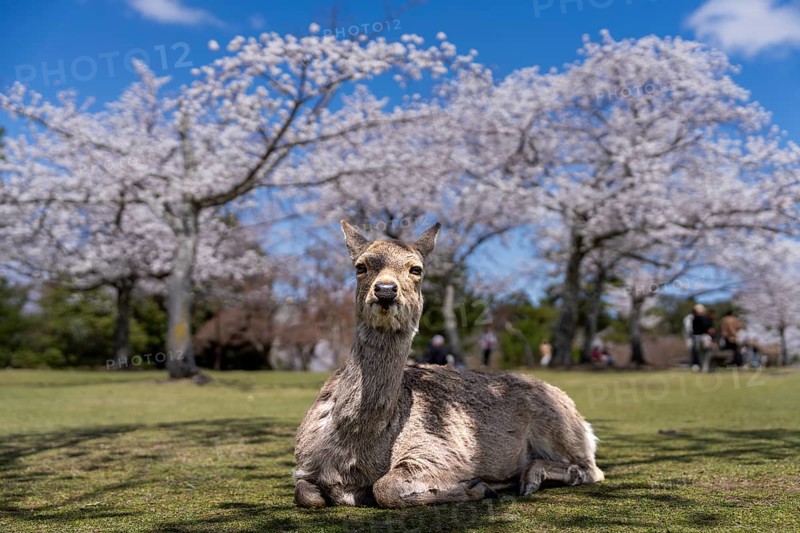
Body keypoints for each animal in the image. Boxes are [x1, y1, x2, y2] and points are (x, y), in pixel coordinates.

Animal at [293, 221, 604, 508]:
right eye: (361, 266)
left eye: (416, 269)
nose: (385, 290)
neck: (351, 453)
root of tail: (583, 423)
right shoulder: (303, 466)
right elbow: (307, 495)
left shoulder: (438, 451)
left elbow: (385, 488)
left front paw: (477, 487)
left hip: (562, 430)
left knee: (593, 470)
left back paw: (527, 479)